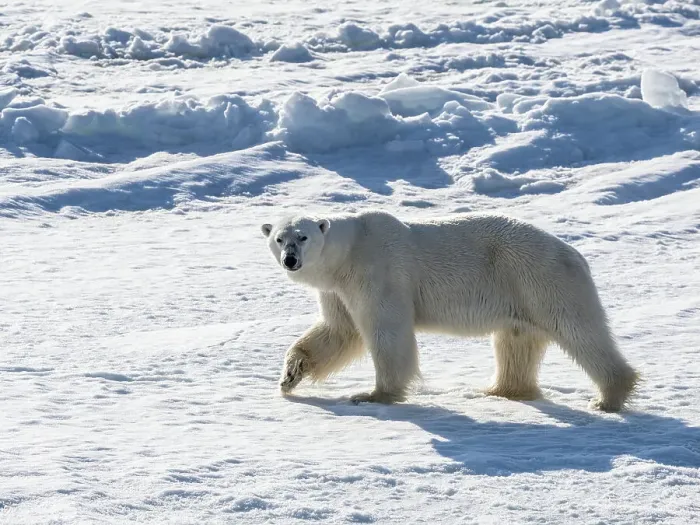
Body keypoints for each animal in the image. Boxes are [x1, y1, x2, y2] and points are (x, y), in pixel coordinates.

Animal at [261, 210, 639, 412]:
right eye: (279, 238)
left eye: (303, 236)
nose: (290, 260)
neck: (349, 251)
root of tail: (574, 254)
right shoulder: (338, 289)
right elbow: (338, 331)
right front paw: (289, 376)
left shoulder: (379, 272)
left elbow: (386, 331)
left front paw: (373, 395)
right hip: (521, 294)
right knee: (516, 342)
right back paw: (501, 390)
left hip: (541, 280)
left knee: (579, 331)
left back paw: (607, 398)